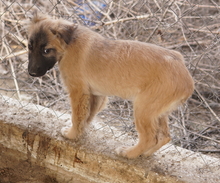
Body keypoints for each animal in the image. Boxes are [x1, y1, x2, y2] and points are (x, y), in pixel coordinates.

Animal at [27, 12, 194, 159]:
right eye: (29, 47)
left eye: (46, 50)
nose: (31, 73)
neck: (69, 44)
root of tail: (187, 80)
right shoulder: (96, 94)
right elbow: (87, 116)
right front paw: (80, 133)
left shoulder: (78, 91)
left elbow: (77, 116)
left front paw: (71, 135)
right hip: (157, 112)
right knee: (164, 136)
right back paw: (145, 154)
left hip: (143, 109)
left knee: (150, 137)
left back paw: (129, 153)